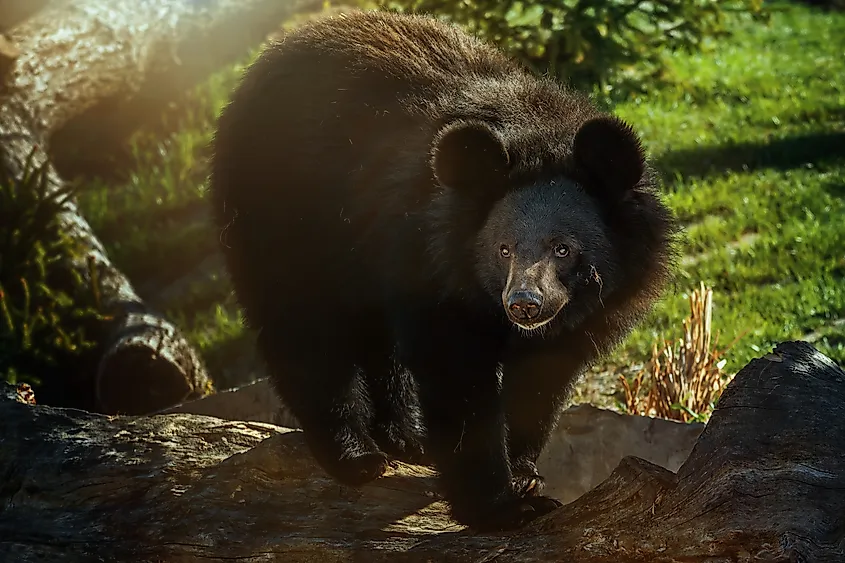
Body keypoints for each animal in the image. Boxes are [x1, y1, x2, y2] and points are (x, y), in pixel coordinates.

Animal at [208, 9, 677, 531]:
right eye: (503, 249)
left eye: (563, 249)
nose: (525, 305)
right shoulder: (432, 264)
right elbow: (457, 374)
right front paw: (501, 506)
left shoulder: (590, 310)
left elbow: (542, 381)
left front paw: (524, 475)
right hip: (285, 216)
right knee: (305, 330)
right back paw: (356, 456)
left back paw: (406, 438)